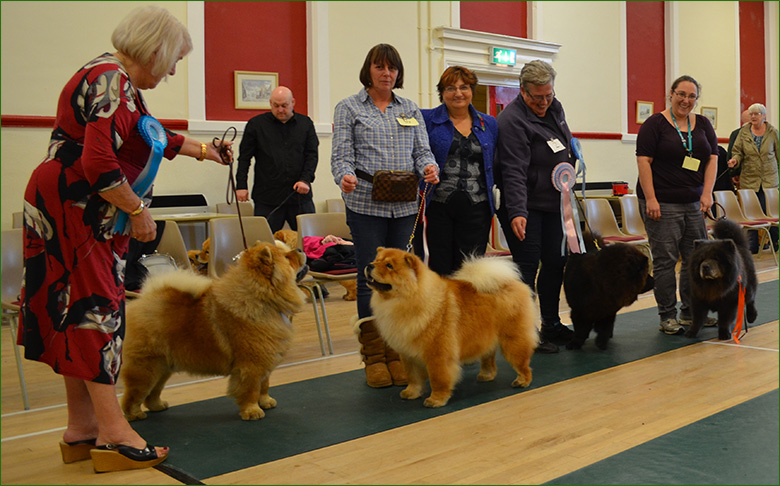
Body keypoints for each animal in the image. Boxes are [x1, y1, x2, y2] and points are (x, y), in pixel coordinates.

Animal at [120, 243, 306, 422]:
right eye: (287, 257)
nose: (299, 249)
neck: (262, 298)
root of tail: (141, 301)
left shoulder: (265, 359)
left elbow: (264, 385)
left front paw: (266, 402)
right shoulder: (251, 365)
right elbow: (251, 389)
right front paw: (252, 411)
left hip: (163, 368)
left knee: (153, 392)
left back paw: (157, 406)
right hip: (146, 368)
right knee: (133, 394)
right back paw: (134, 415)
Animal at [364, 247, 536, 406]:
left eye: (389, 266)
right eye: (376, 260)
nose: (369, 265)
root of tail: (512, 283)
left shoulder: (437, 353)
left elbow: (438, 378)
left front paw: (436, 400)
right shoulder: (407, 354)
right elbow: (413, 377)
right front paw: (411, 393)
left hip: (513, 340)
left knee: (522, 362)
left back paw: (523, 381)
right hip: (487, 337)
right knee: (489, 357)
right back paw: (486, 375)